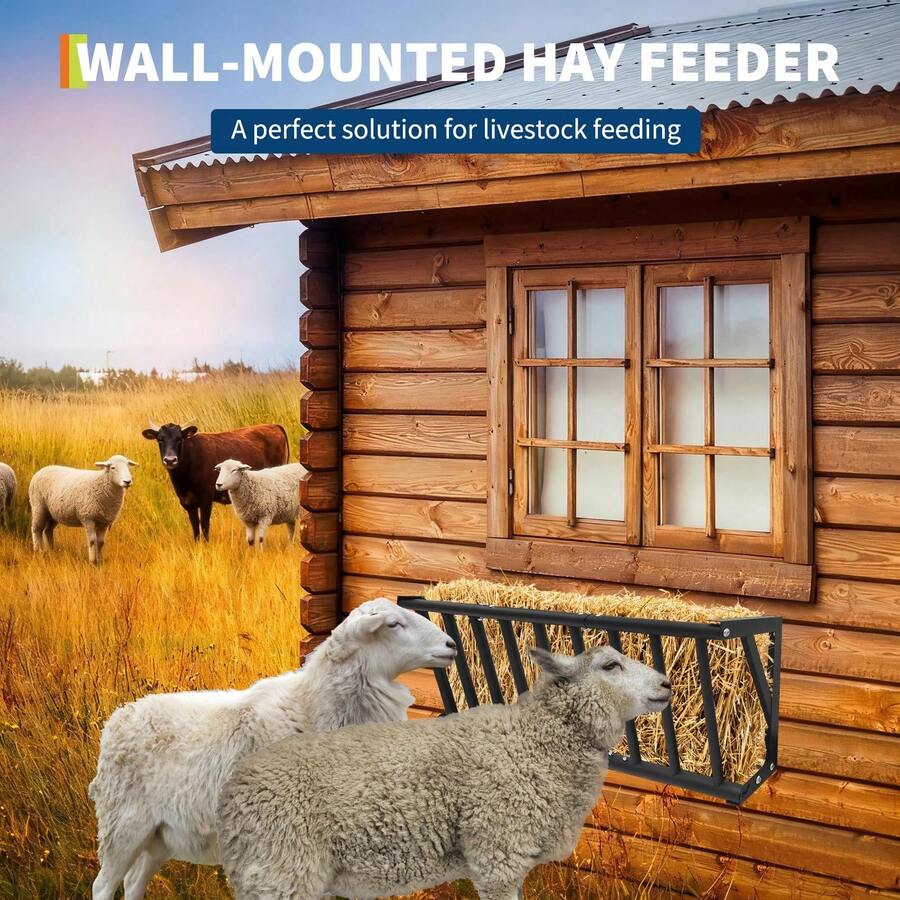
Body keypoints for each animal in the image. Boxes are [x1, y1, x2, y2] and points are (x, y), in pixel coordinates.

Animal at [88, 598, 457, 900]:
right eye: (393, 624)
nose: (451, 644)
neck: (310, 707)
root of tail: (118, 718)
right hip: (123, 824)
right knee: (103, 885)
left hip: (161, 834)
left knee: (133, 882)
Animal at [217, 644, 672, 900]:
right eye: (610, 666)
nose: (666, 685)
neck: (533, 740)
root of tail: (233, 793)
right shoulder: (496, 854)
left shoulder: (512, 862)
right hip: (281, 870)